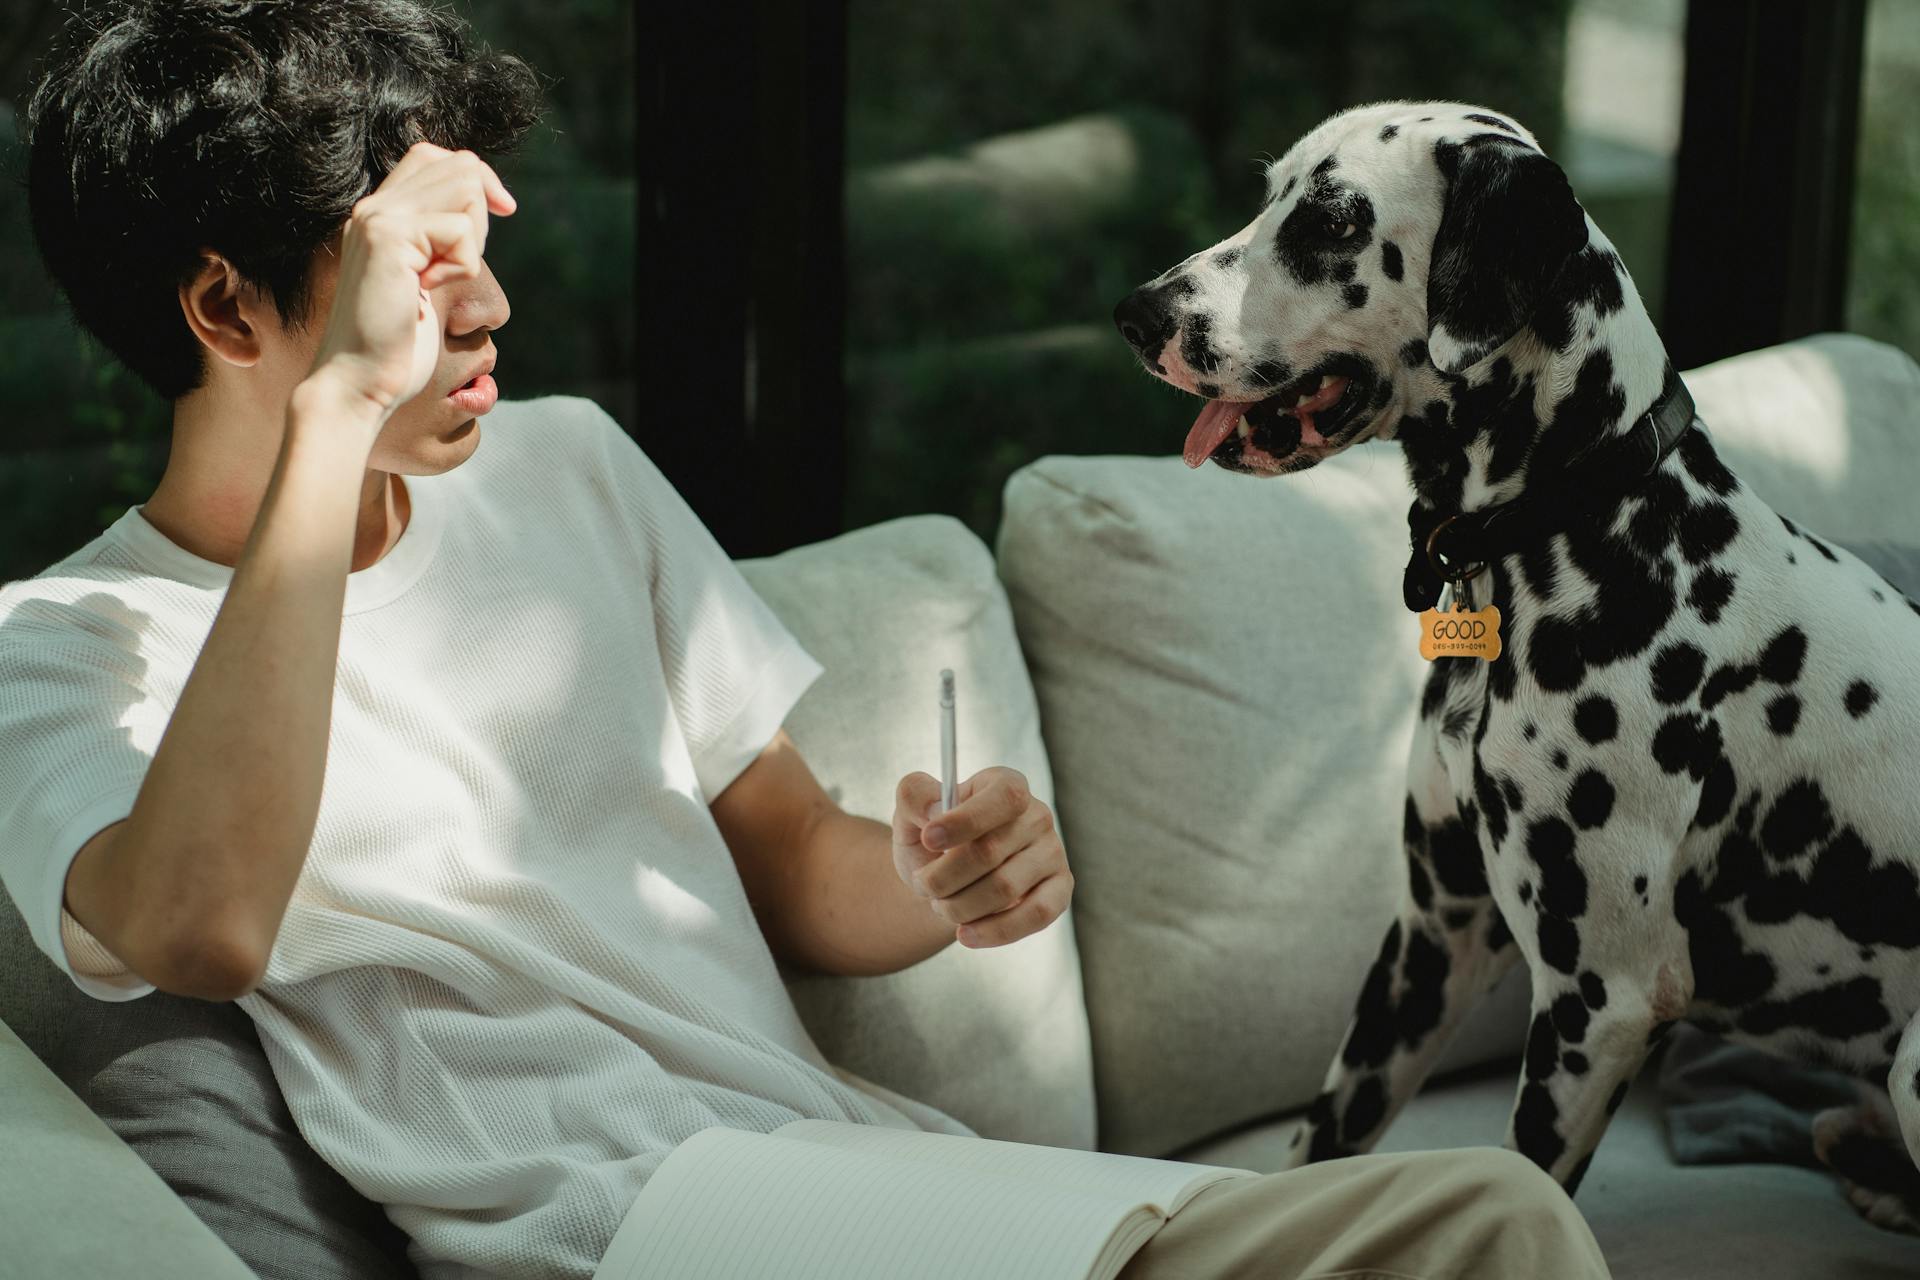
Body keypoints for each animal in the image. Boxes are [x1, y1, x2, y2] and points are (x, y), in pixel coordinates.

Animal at [1121, 102, 1920, 1228]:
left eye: (1331, 221)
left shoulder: (1599, 1006)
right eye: (1270, 192)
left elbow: (1526, 1182)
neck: (1595, 526)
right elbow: (1318, 1150)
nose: (1136, 313)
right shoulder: (1429, 939)